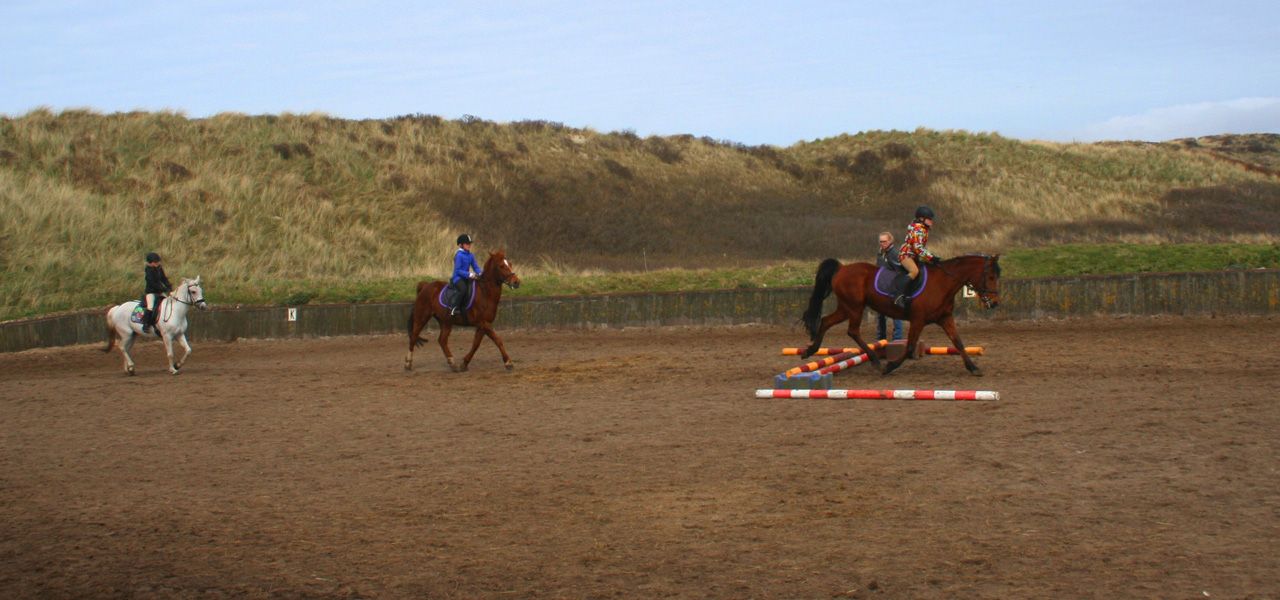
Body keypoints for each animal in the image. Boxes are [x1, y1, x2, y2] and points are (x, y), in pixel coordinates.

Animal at [798, 252, 998, 373]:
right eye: (990, 277)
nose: (994, 303)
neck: (943, 283)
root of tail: (842, 268)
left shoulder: (945, 318)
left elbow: (958, 343)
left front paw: (973, 367)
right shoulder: (918, 320)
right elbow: (909, 348)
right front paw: (890, 367)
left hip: (846, 307)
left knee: (826, 321)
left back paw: (810, 350)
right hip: (855, 307)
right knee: (852, 331)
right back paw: (876, 361)